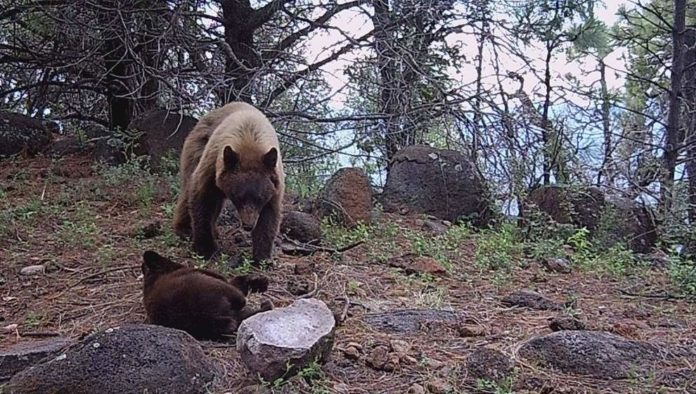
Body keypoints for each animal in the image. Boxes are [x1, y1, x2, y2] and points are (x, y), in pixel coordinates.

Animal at [174, 101, 286, 264]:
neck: (249, 140)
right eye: (239, 197)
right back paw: (184, 228)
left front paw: (263, 258)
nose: (248, 225)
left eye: (259, 199)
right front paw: (206, 248)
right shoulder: (212, 164)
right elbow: (201, 197)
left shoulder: (275, 182)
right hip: (196, 147)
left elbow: (269, 214)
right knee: (188, 188)